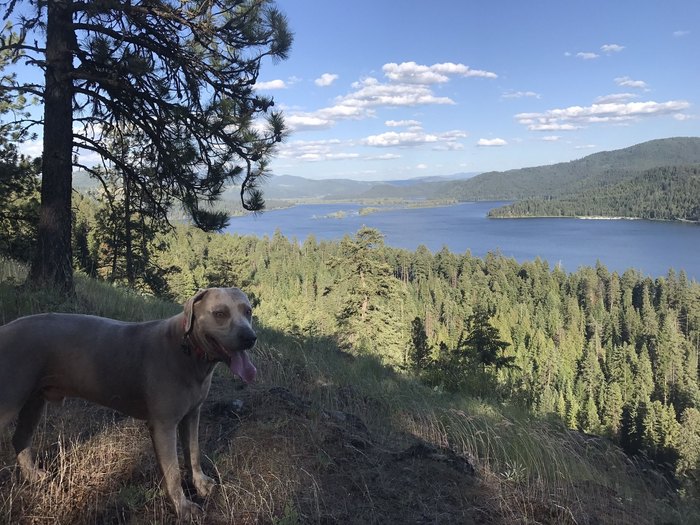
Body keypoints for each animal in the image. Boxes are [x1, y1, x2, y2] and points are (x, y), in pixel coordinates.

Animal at [0, 288, 258, 516]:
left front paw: (201, 484)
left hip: (34, 400)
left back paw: (33, 476)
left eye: (248, 311)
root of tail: (5, 329)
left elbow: (193, 451)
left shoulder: (192, 414)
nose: (250, 337)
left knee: (20, 439)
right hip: (9, 401)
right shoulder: (164, 425)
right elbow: (173, 471)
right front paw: (183, 508)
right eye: (220, 313)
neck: (188, 351)